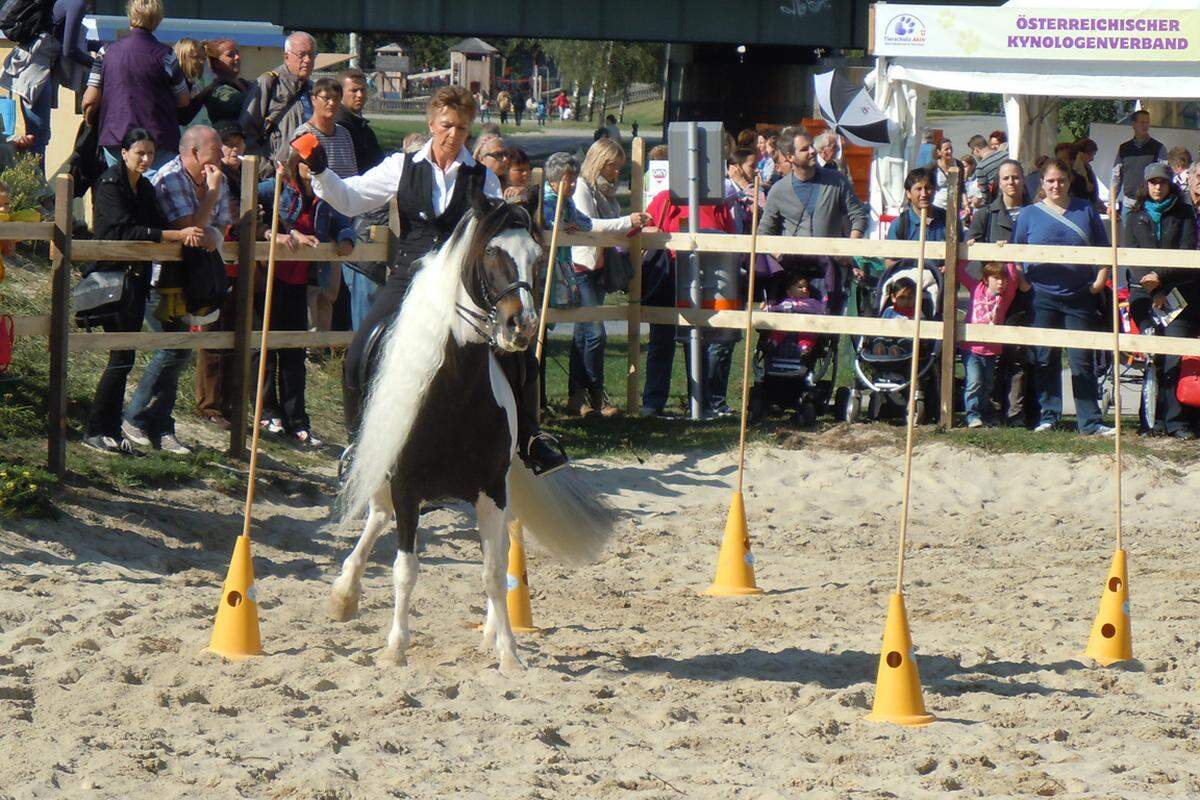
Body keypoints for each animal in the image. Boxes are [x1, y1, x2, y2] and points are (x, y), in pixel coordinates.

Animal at [328, 191, 614, 671]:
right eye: (492, 253)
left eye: (537, 257)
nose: (522, 326)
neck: (455, 391)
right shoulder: (406, 487)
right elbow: (405, 570)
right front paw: (395, 647)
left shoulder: (492, 490)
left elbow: (494, 572)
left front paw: (508, 652)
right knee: (378, 514)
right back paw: (345, 595)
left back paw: (489, 631)